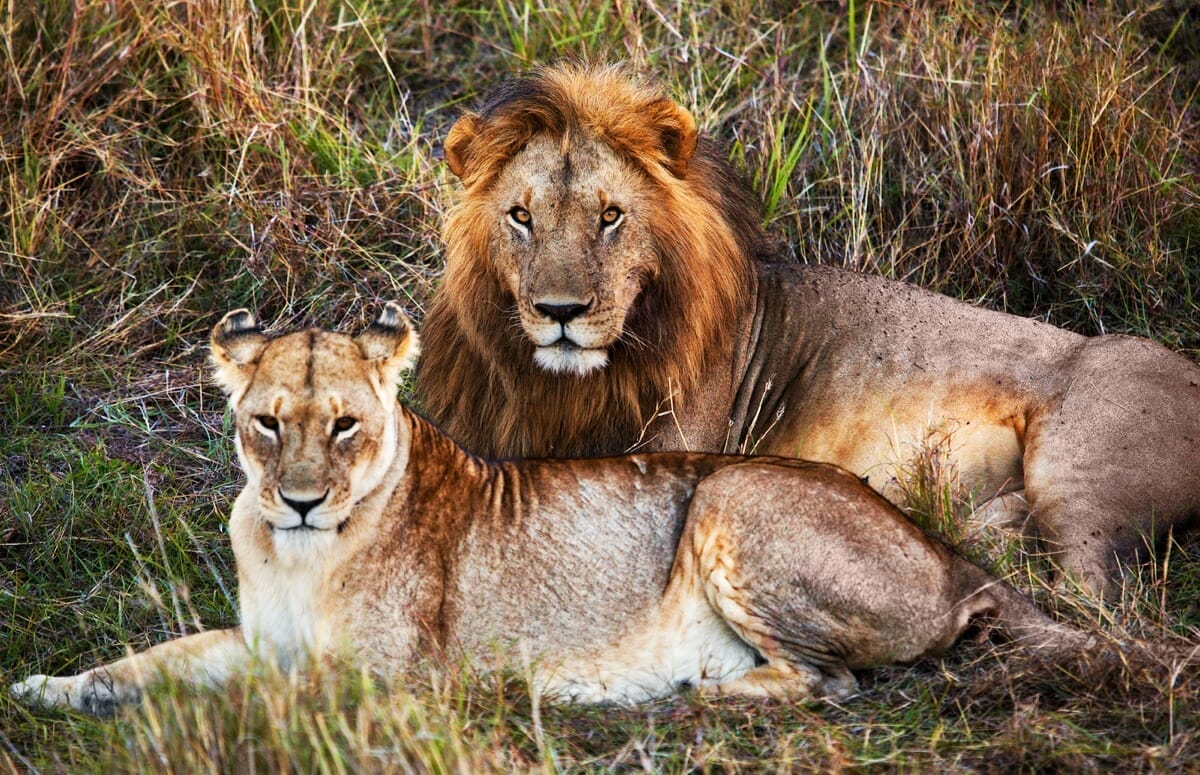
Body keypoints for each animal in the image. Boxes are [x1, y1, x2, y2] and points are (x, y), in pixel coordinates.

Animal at [12, 305, 1095, 714]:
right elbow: (156, 658)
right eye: (268, 423)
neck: (292, 553)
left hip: (727, 492)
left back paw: (687, 688)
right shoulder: (259, 636)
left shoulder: (389, 679)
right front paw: (55, 687)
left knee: (831, 682)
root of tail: (955, 560)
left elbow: (258, 702)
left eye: (347, 425)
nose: (306, 500)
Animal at [416, 62, 1200, 598]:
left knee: (1088, 593)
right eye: (521, 216)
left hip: (1078, 465)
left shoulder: (671, 452)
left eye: (610, 216)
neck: (563, 387)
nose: (560, 312)